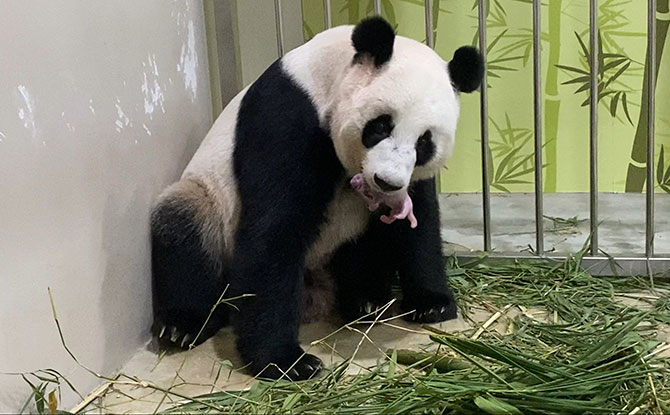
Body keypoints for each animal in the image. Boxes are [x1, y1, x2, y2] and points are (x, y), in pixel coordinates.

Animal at [152, 17, 484, 380]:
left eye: (425, 143)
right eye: (381, 126)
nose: (386, 182)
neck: (327, 76)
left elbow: (419, 222)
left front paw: (432, 303)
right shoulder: (287, 117)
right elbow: (274, 229)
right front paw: (286, 362)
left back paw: (365, 298)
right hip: (209, 203)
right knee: (184, 228)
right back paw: (183, 325)